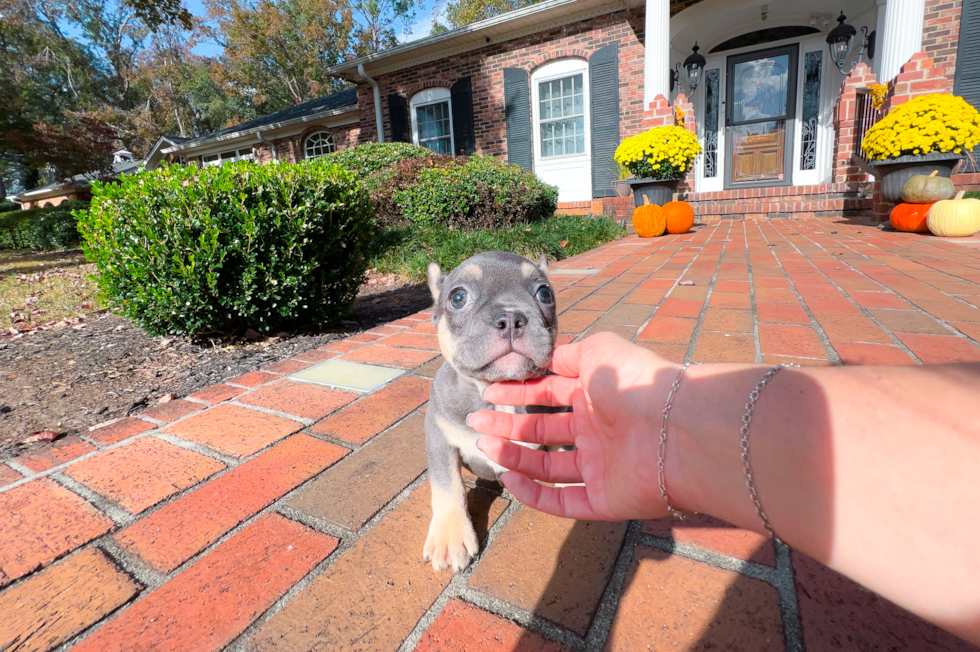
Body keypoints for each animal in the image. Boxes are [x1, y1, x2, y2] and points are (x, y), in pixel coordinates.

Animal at [424, 250, 560, 572]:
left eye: (545, 293)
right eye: (458, 297)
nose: (510, 316)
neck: (498, 391)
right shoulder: (438, 435)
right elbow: (447, 484)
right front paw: (450, 535)